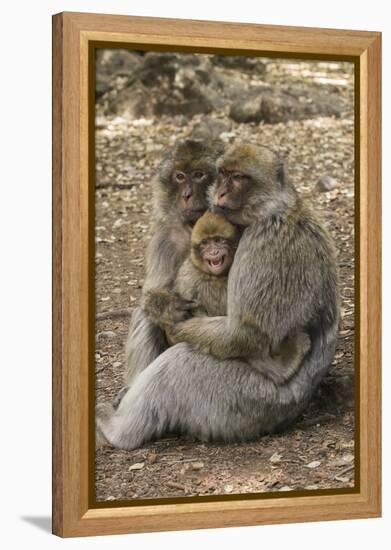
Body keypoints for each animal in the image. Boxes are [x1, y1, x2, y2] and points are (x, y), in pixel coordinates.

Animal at [124, 139, 225, 388]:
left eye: (198, 175)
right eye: (179, 176)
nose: (187, 195)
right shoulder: (165, 240)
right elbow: (151, 295)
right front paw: (170, 306)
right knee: (145, 314)